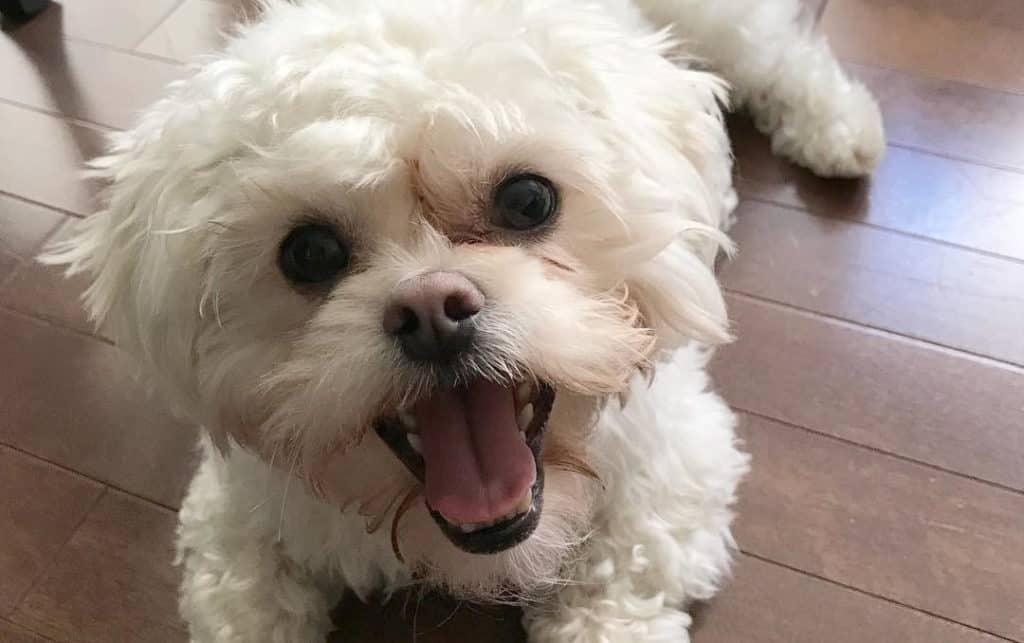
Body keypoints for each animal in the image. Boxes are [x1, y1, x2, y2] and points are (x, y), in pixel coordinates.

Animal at [44, 2, 884, 638]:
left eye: (528, 199)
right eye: (308, 252)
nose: (430, 310)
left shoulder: (673, 464)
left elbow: (616, 584)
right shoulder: (240, 509)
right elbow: (244, 601)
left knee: (781, 52)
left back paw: (839, 127)